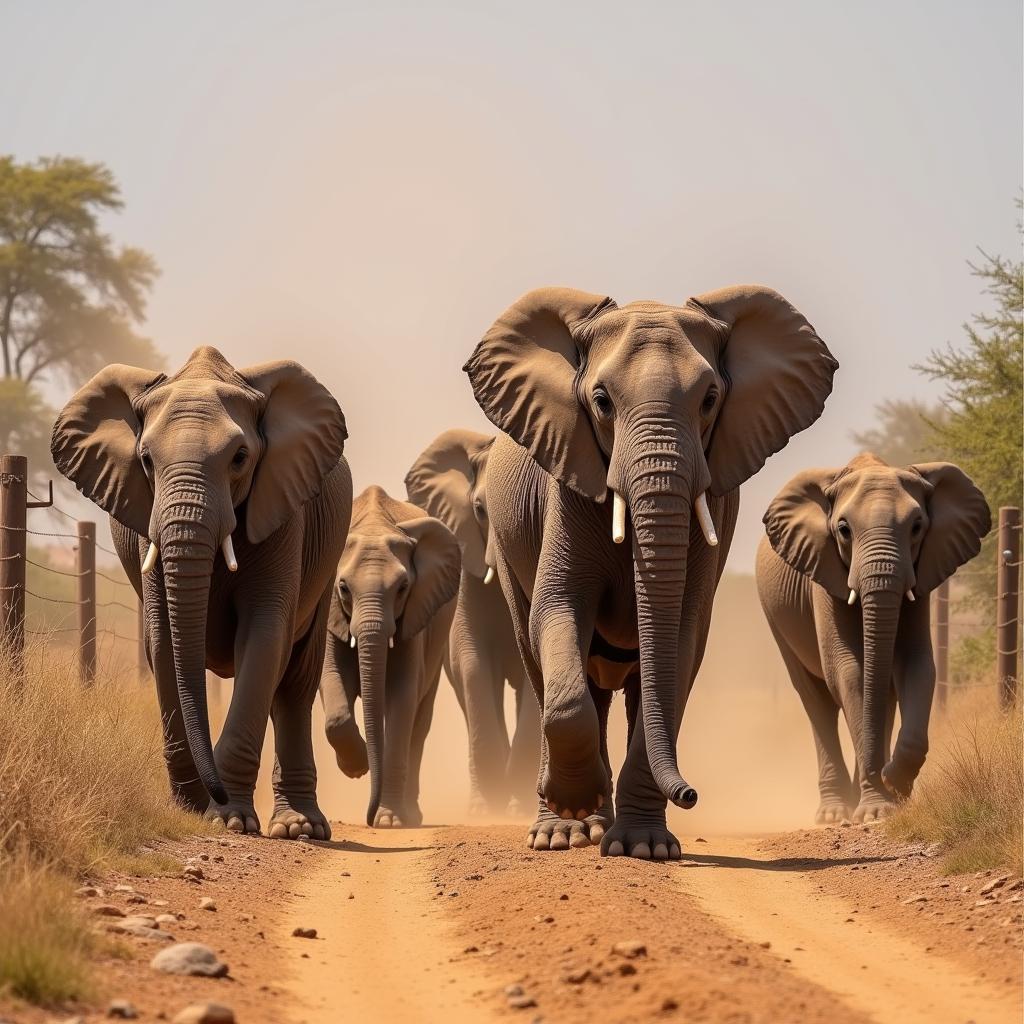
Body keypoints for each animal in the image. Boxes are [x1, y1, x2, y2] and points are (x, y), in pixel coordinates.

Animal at [51, 344, 352, 839]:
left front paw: (229, 819)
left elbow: (265, 634)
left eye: (240, 457)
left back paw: (299, 829)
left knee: (295, 681)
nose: (214, 796)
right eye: (146, 460)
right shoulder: (146, 522)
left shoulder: (285, 510)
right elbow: (162, 641)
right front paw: (194, 810)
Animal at [319, 483, 460, 827]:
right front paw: (356, 766)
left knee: (419, 723)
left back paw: (412, 815)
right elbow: (331, 677)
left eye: (403, 587)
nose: (369, 818)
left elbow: (402, 692)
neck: (373, 525)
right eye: (343, 588)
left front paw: (389, 821)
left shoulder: (415, 614)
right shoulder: (329, 609)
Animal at [464, 282, 839, 856]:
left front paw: (644, 848)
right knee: (540, 659)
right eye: (600, 402)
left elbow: (680, 639)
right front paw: (576, 815)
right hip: (506, 549)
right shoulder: (566, 482)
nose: (690, 794)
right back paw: (567, 831)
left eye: (709, 400)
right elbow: (557, 610)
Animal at [757, 452, 987, 819]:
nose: (883, 774)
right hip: (773, 614)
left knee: (882, 695)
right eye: (843, 530)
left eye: (917, 527)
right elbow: (849, 670)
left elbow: (916, 664)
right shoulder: (823, 570)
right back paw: (835, 813)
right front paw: (878, 808)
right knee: (816, 699)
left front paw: (893, 786)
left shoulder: (921, 573)